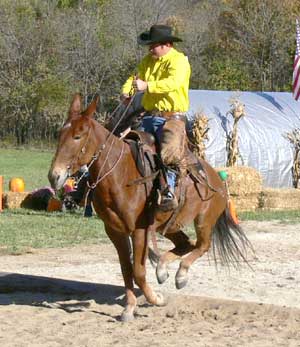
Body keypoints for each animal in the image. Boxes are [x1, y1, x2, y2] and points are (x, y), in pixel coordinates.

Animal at [48, 94, 252, 322]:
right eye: (61, 134)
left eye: (78, 136)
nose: (54, 176)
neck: (119, 174)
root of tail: (217, 178)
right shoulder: (115, 231)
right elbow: (126, 269)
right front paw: (129, 308)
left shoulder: (140, 230)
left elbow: (138, 271)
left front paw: (156, 299)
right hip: (170, 224)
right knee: (186, 243)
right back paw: (163, 270)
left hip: (204, 220)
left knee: (202, 245)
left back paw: (180, 275)